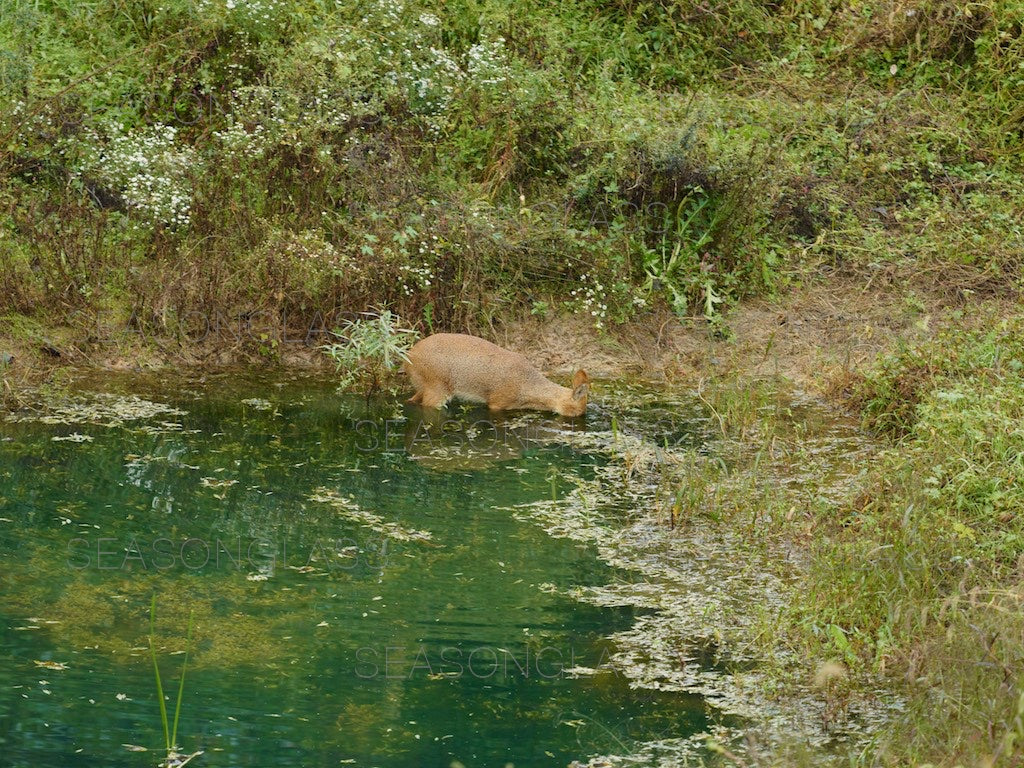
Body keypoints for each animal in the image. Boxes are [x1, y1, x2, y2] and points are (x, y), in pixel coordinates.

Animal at [401, 333, 589, 417]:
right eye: (578, 412)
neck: (526, 388)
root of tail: (408, 358)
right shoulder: (497, 402)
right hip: (437, 388)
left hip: (424, 387)